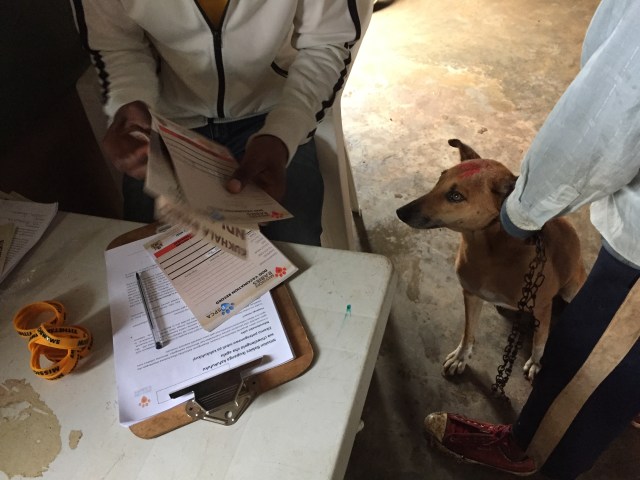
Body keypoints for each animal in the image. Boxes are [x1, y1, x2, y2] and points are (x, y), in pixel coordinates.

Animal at [398, 138, 588, 378]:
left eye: (455, 196)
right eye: (440, 178)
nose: (400, 212)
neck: (490, 251)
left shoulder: (543, 309)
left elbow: (540, 341)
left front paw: (535, 363)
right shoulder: (470, 294)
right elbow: (468, 331)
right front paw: (461, 357)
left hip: (571, 288)